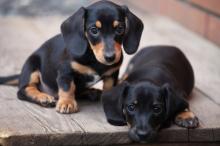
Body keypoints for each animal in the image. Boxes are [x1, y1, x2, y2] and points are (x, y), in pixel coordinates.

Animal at [0, 0, 144, 113]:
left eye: (120, 29)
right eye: (94, 30)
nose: (110, 57)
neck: (93, 59)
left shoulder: (112, 75)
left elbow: (109, 88)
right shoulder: (65, 72)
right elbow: (68, 87)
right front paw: (67, 103)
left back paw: (91, 92)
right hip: (32, 65)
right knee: (23, 90)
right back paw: (43, 97)